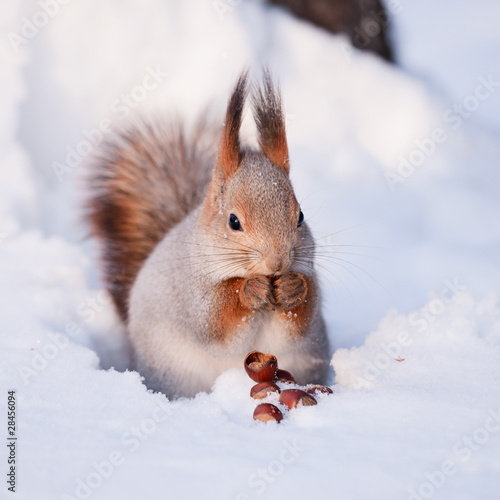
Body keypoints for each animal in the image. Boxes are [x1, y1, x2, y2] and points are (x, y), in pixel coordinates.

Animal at [87, 71, 330, 398]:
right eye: (233, 221)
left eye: (300, 217)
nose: (277, 263)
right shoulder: (191, 291)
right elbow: (214, 323)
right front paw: (249, 290)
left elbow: (303, 319)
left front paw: (293, 287)